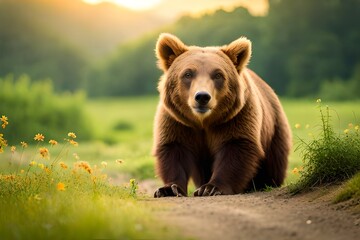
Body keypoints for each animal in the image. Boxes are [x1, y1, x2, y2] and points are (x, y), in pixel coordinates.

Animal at [153, 32, 292, 197]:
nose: (202, 97)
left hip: (274, 130)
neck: (203, 122)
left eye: (218, 75)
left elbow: (236, 148)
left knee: (273, 162)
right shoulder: (177, 121)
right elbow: (174, 149)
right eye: (188, 74)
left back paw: (263, 183)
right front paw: (169, 189)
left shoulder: (236, 117)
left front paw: (211, 188)